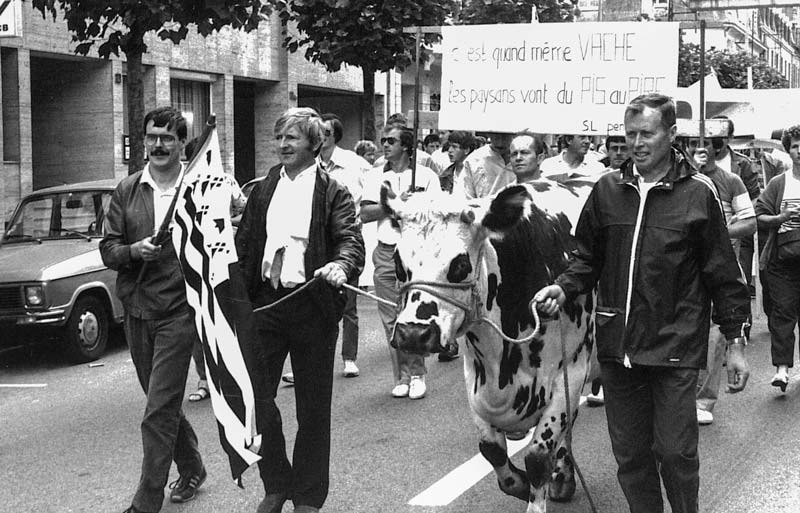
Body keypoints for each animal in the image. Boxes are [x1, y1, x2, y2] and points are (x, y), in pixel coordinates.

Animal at [382, 181, 592, 512]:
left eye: (460, 264)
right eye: (399, 264)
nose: (413, 334)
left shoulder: (570, 372)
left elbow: (537, 457)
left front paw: (537, 494)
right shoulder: (475, 378)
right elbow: (491, 449)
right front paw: (520, 484)